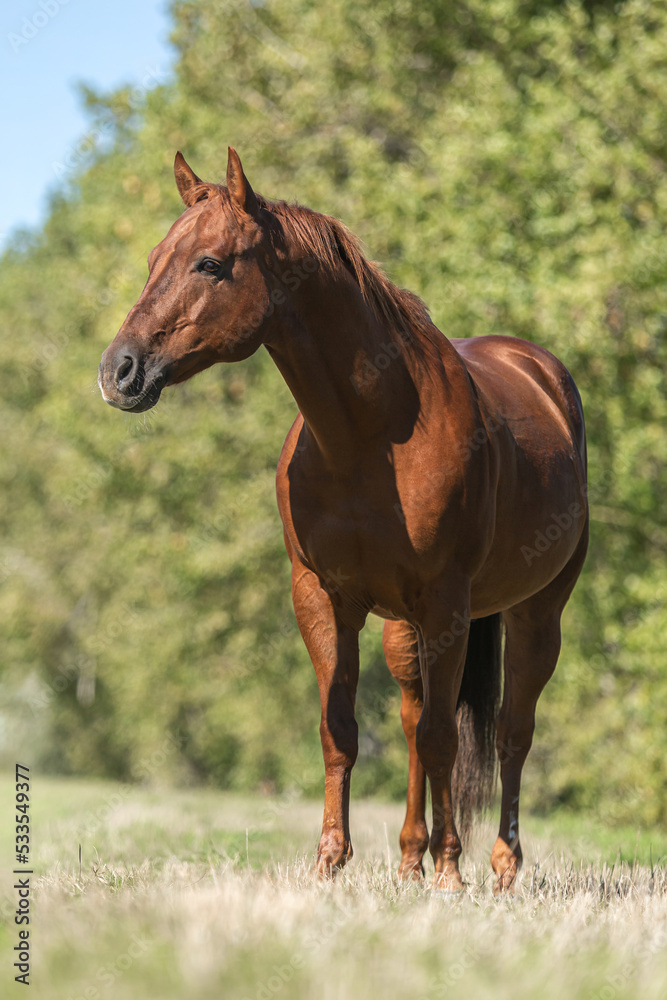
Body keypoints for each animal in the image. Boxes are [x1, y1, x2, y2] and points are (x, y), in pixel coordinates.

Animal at [99, 146, 588, 892]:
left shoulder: (445, 600)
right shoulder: (323, 597)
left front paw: (451, 872)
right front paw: (330, 862)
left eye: (209, 263)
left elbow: (447, 737)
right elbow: (343, 728)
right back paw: (410, 859)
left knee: (510, 731)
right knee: (415, 720)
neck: (371, 434)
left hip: (535, 612)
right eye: (155, 258)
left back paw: (497, 865)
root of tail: (540, 371)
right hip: (404, 630)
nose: (118, 371)